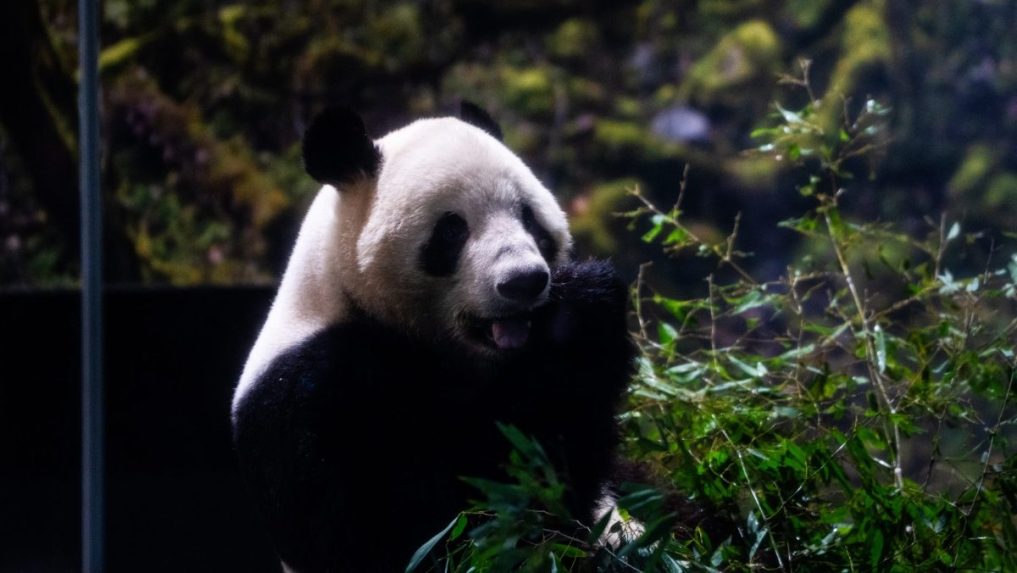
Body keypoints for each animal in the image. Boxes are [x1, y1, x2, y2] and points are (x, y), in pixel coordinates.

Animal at [231, 102, 636, 572]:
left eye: (529, 217)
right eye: (452, 229)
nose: (523, 281)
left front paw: (580, 311)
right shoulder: (312, 395)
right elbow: (415, 528)